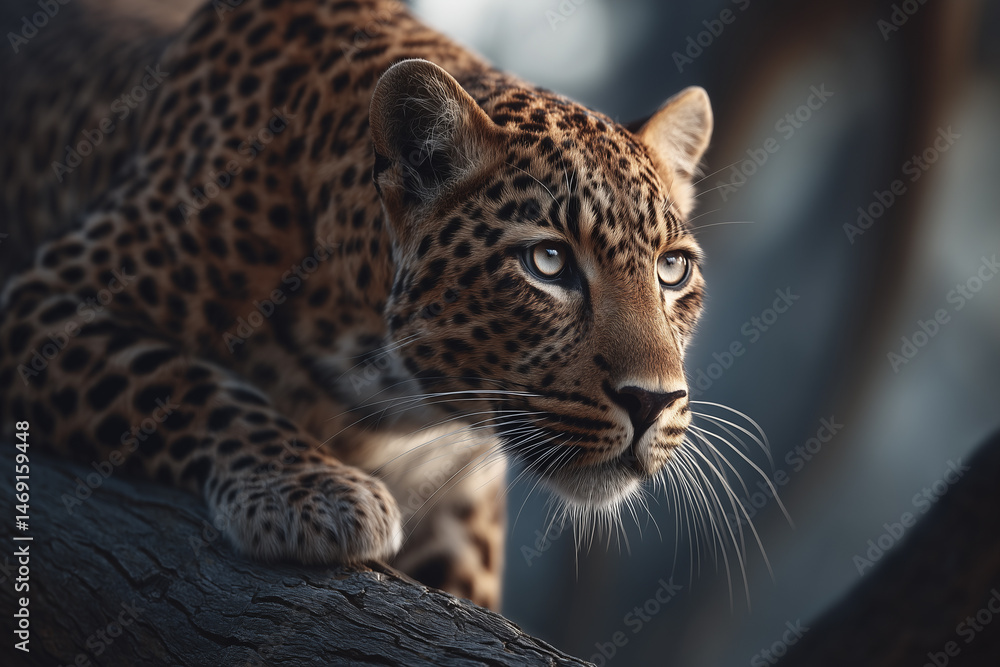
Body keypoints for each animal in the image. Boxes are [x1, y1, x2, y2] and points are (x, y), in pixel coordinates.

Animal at [0, 0, 712, 610]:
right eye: (549, 262)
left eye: (671, 269)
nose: (653, 403)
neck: (388, 395)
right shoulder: (38, 300)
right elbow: (182, 378)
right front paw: (310, 492)